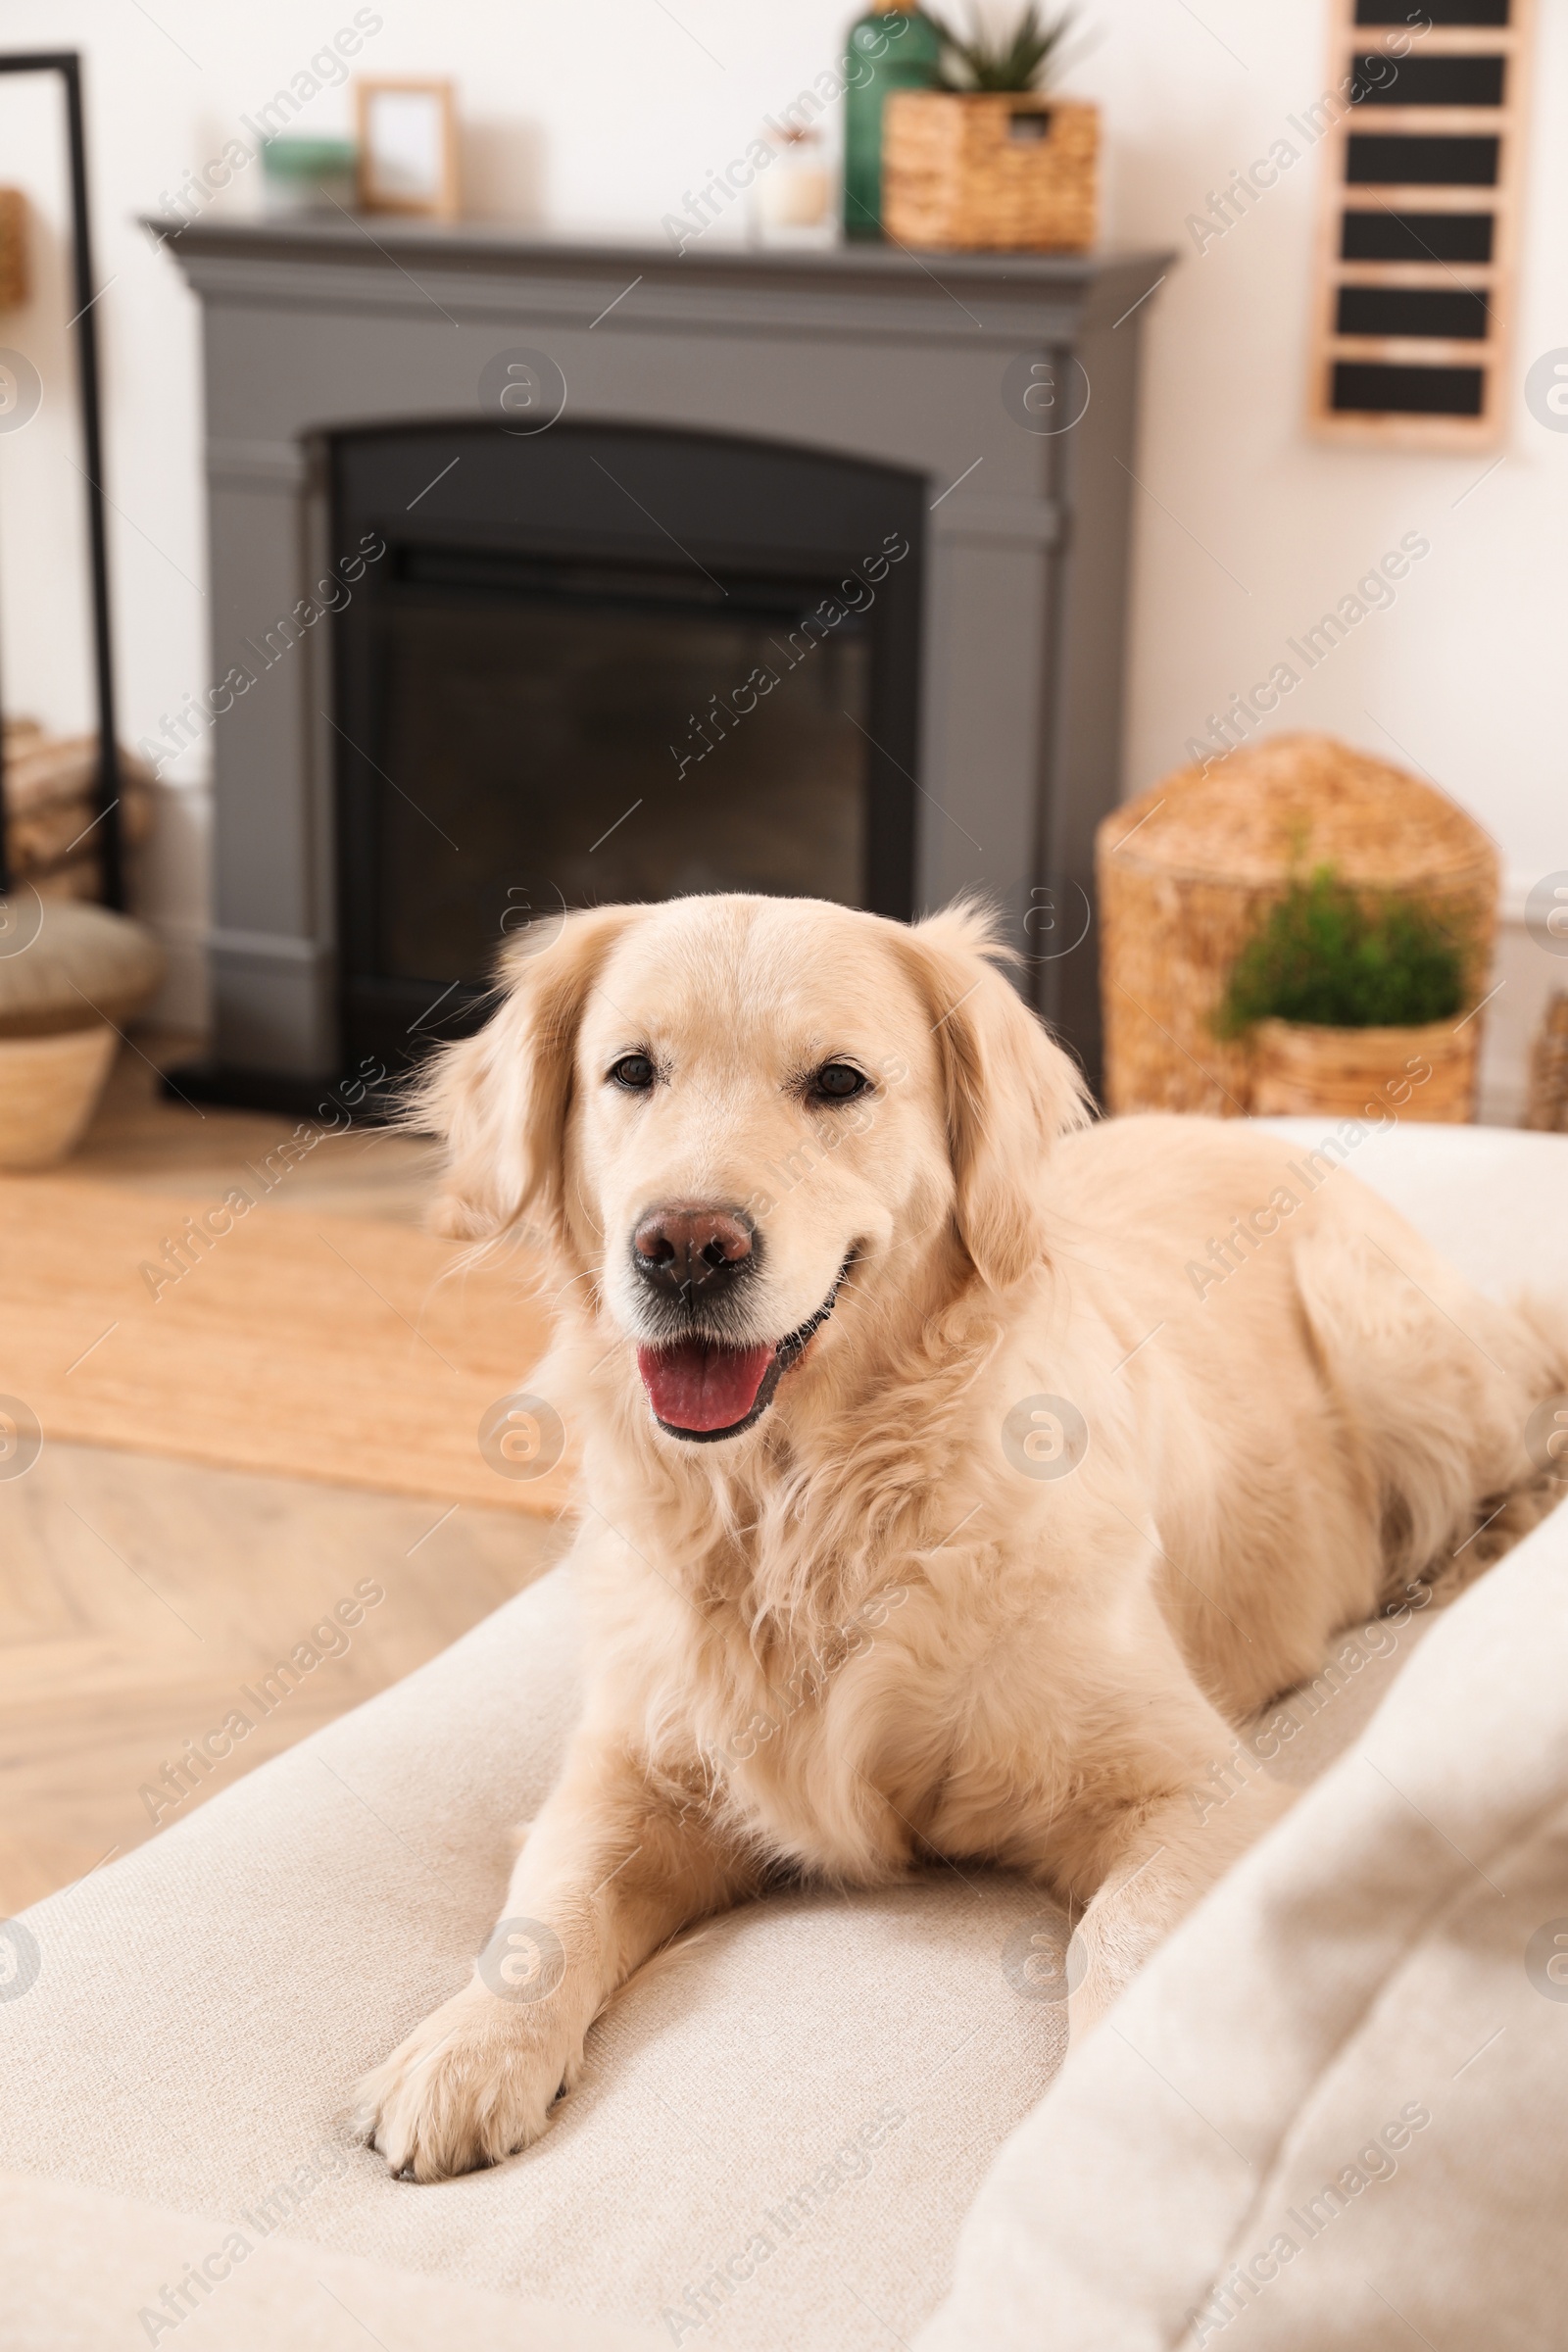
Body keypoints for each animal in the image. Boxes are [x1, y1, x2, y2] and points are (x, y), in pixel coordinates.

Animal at [360, 889, 1568, 2173]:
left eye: (837, 1082)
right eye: (630, 1071)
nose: (684, 1246)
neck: (807, 1502)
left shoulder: (1193, 1792)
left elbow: (1122, 1939)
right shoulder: (634, 1764)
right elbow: (548, 1898)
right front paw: (466, 2047)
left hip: (1397, 1350)